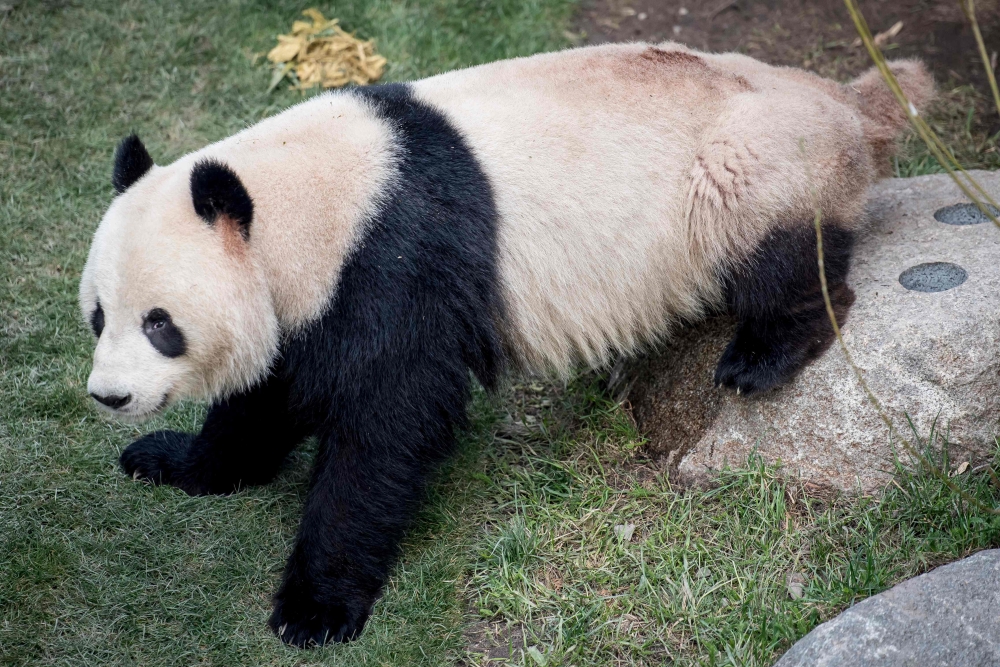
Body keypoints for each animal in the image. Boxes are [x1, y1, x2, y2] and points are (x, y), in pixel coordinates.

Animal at [79, 42, 933, 646]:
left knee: (782, 250)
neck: (313, 197)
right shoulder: (316, 295)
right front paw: (173, 459)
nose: (110, 396)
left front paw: (314, 608)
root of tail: (844, 100)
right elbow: (268, 395)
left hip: (755, 162)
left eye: (160, 323)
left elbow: (385, 425)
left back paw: (763, 354)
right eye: (98, 315)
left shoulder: (395, 262)